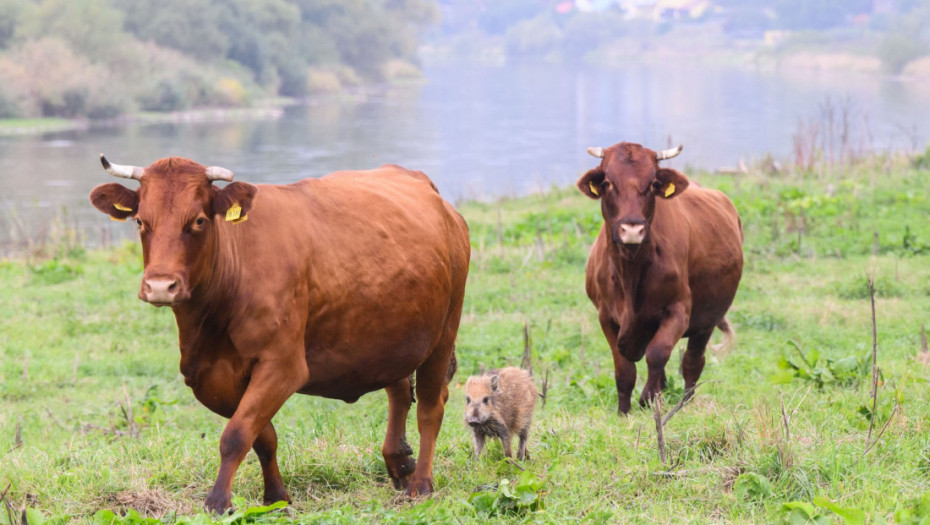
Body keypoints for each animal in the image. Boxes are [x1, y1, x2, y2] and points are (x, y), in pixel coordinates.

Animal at [89, 154, 468, 510]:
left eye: (198, 220)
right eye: (141, 220)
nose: (160, 286)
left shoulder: (283, 365)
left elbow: (236, 434)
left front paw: (218, 502)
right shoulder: (207, 375)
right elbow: (262, 436)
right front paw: (276, 497)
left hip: (444, 332)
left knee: (430, 407)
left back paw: (420, 484)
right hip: (391, 336)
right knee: (400, 389)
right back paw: (398, 462)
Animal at [576, 142, 744, 414]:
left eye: (653, 182)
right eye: (608, 182)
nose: (632, 229)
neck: (631, 272)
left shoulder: (679, 310)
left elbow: (657, 354)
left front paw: (648, 399)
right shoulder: (606, 316)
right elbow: (624, 369)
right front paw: (623, 411)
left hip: (708, 319)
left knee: (692, 361)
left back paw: (684, 403)